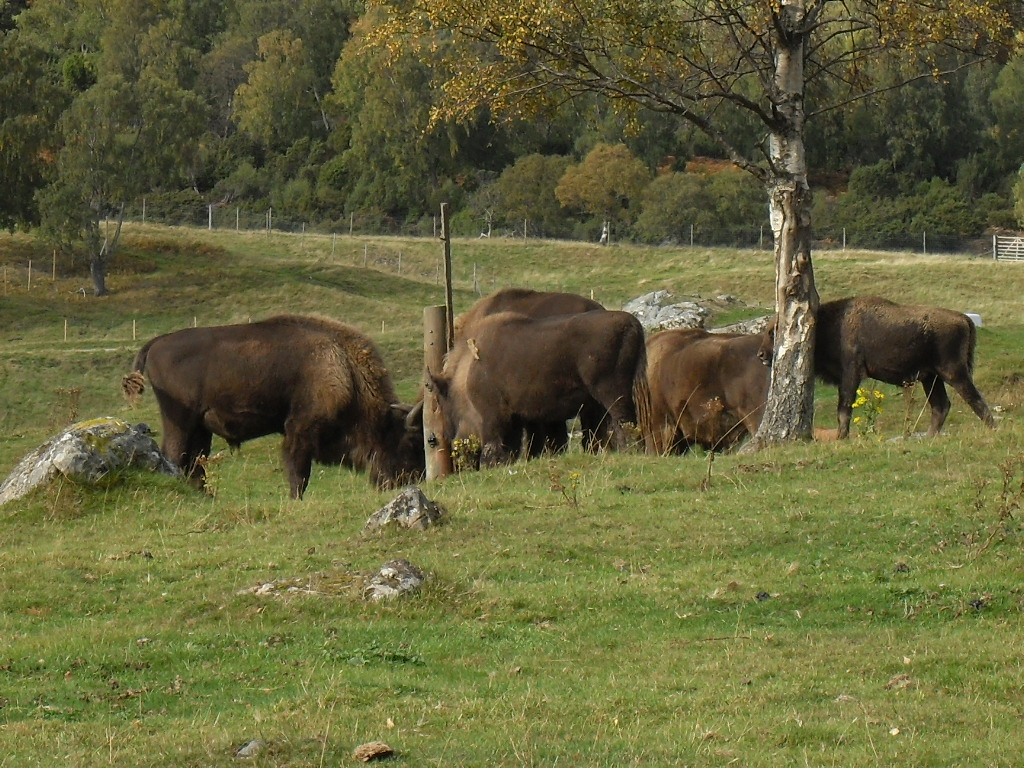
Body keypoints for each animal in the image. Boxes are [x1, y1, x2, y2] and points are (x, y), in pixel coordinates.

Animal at [122, 315, 424, 498]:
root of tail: (157, 342)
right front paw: (295, 499)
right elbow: (298, 471)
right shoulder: (300, 429)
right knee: (175, 457)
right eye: (408, 442)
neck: (342, 366)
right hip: (179, 421)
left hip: (199, 427)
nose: (411, 480)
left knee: (195, 463)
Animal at [430, 309, 650, 467]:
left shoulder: (493, 416)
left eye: (443, 401)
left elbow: (496, 444)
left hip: (612, 394)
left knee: (624, 422)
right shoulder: (521, 418)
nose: (445, 437)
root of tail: (632, 323)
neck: (468, 369)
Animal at [759, 296, 996, 438]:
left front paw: (842, 437)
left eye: (773, 332)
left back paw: (992, 429)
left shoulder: (851, 374)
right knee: (941, 405)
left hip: (952, 372)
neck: (832, 324)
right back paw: (929, 437)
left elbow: (843, 408)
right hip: (931, 378)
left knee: (974, 400)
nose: (761, 354)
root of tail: (964, 319)